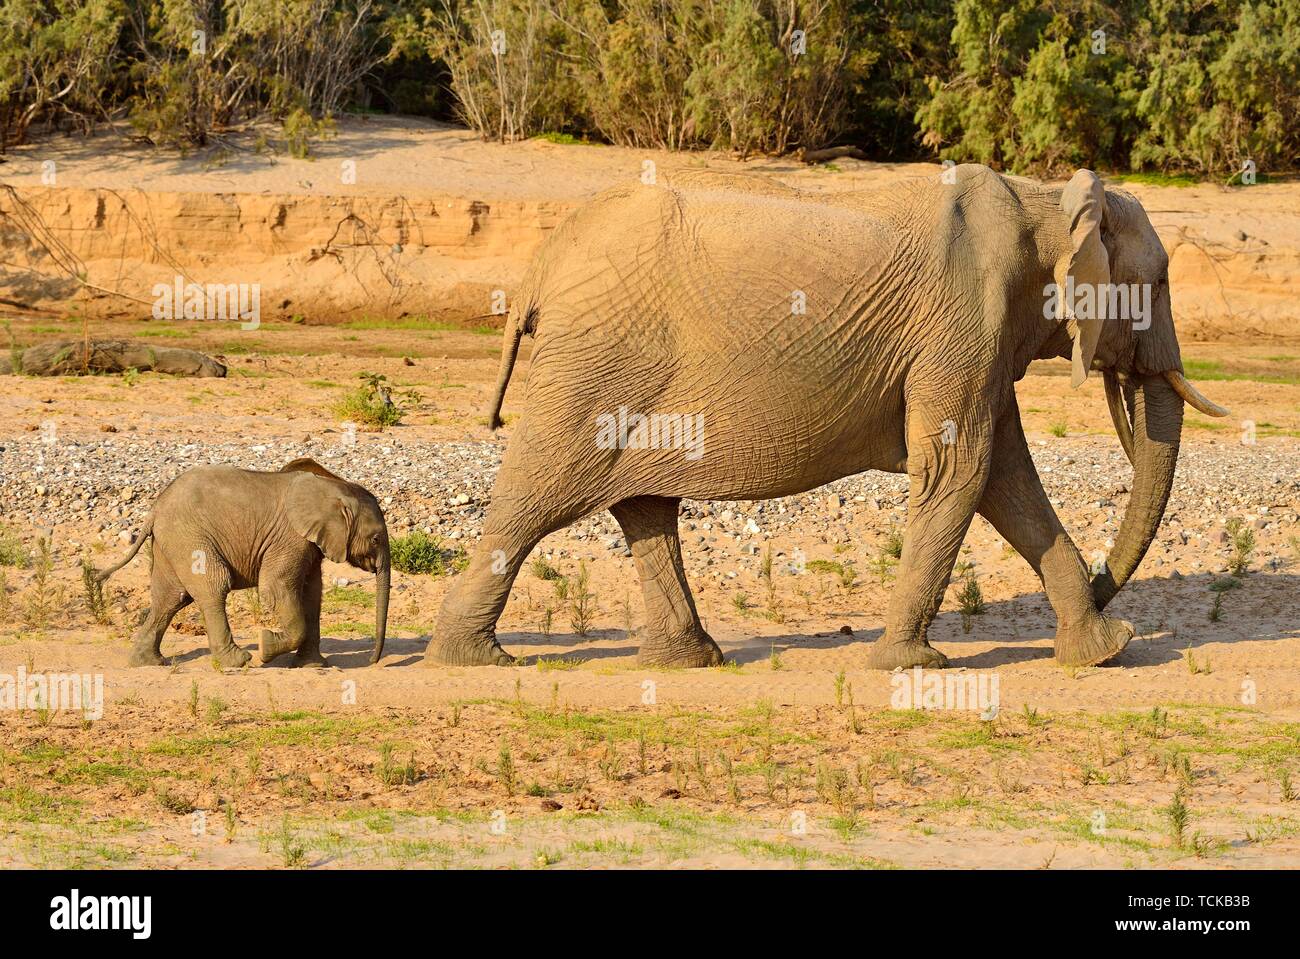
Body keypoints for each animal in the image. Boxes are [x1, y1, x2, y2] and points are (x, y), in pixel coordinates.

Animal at [98, 454, 387, 665]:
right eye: (375, 539)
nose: (373, 661)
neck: (334, 487)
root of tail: (155, 508)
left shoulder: (310, 543)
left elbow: (312, 594)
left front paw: (313, 666)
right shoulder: (290, 537)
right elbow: (276, 588)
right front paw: (265, 646)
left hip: (171, 542)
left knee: (170, 597)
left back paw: (149, 662)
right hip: (189, 537)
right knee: (213, 586)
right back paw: (238, 660)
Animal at [428, 164, 1227, 670]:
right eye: (1159, 282)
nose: (1105, 579)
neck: (1048, 201)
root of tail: (540, 265)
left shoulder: (980, 342)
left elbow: (1005, 478)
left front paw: (1106, 648)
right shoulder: (963, 320)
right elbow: (961, 471)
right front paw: (909, 665)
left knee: (643, 505)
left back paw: (690, 661)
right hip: (597, 364)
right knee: (535, 497)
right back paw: (474, 660)